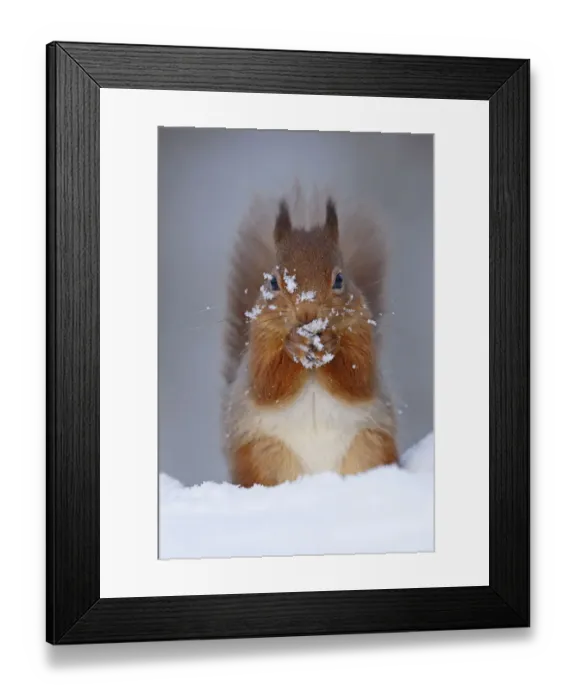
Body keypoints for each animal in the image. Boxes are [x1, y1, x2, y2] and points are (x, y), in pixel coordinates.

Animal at [221, 190, 399, 488]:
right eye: (272, 282)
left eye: (339, 279)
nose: (308, 312)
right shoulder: (259, 340)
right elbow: (267, 384)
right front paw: (294, 345)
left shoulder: (361, 331)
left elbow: (358, 379)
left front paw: (331, 345)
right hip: (263, 455)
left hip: (369, 445)